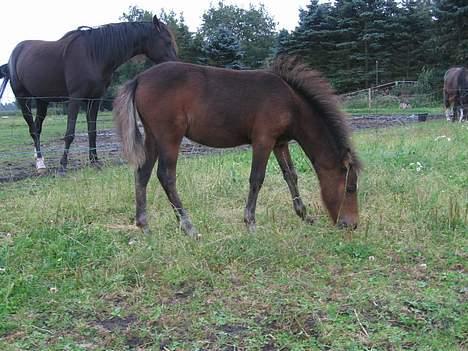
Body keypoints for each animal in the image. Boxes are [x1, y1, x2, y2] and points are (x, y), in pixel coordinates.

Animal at [0, 16, 177, 173]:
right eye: (167, 41)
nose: (175, 64)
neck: (93, 55)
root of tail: (14, 55)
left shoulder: (94, 99)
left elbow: (92, 131)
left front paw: (94, 161)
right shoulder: (75, 98)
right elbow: (70, 133)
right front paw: (63, 165)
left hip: (42, 101)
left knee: (37, 128)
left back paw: (39, 161)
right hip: (23, 99)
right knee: (33, 129)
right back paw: (40, 164)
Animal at [113, 58, 362, 239]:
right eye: (351, 188)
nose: (351, 225)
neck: (291, 103)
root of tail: (139, 78)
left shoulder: (279, 143)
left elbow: (290, 175)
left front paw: (304, 215)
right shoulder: (263, 140)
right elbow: (257, 178)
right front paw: (250, 223)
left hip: (153, 138)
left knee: (142, 174)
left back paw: (144, 226)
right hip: (169, 138)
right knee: (166, 176)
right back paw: (189, 227)